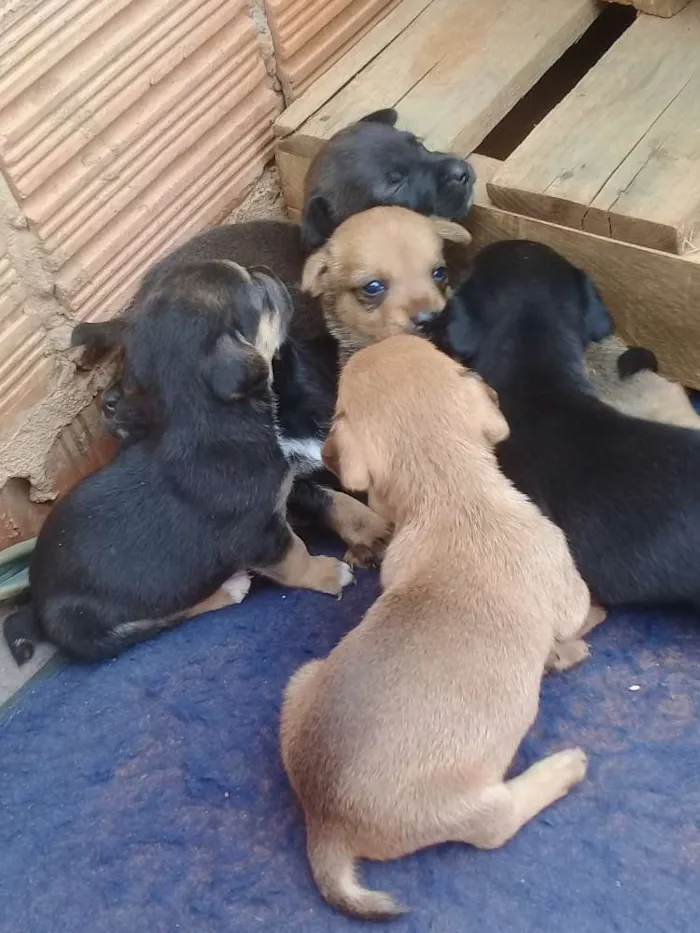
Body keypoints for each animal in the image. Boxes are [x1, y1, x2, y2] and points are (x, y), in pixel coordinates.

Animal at [4, 260, 356, 664]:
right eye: (260, 296)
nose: (266, 272)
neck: (206, 418)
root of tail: (37, 606)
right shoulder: (259, 532)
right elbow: (295, 555)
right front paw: (327, 573)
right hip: (94, 628)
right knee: (164, 618)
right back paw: (229, 588)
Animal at [278, 334, 600, 916]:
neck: (450, 490)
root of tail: (325, 823)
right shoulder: (566, 585)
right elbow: (581, 616)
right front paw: (574, 643)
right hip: (478, 808)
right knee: (501, 821)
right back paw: (562, 767)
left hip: (302, 679)